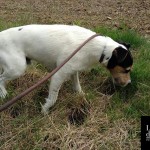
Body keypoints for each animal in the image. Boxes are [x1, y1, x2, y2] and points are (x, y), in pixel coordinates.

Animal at [0, 24, 132, 112]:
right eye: (127, 70)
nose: (129, 83)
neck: (100, 49)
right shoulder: (58, 75)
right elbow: (53, 98)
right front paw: (45, 110)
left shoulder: (73, 70)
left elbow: (77, 85)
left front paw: (81, 95)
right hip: (18, 68)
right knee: (1, 79)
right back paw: (4, 94)